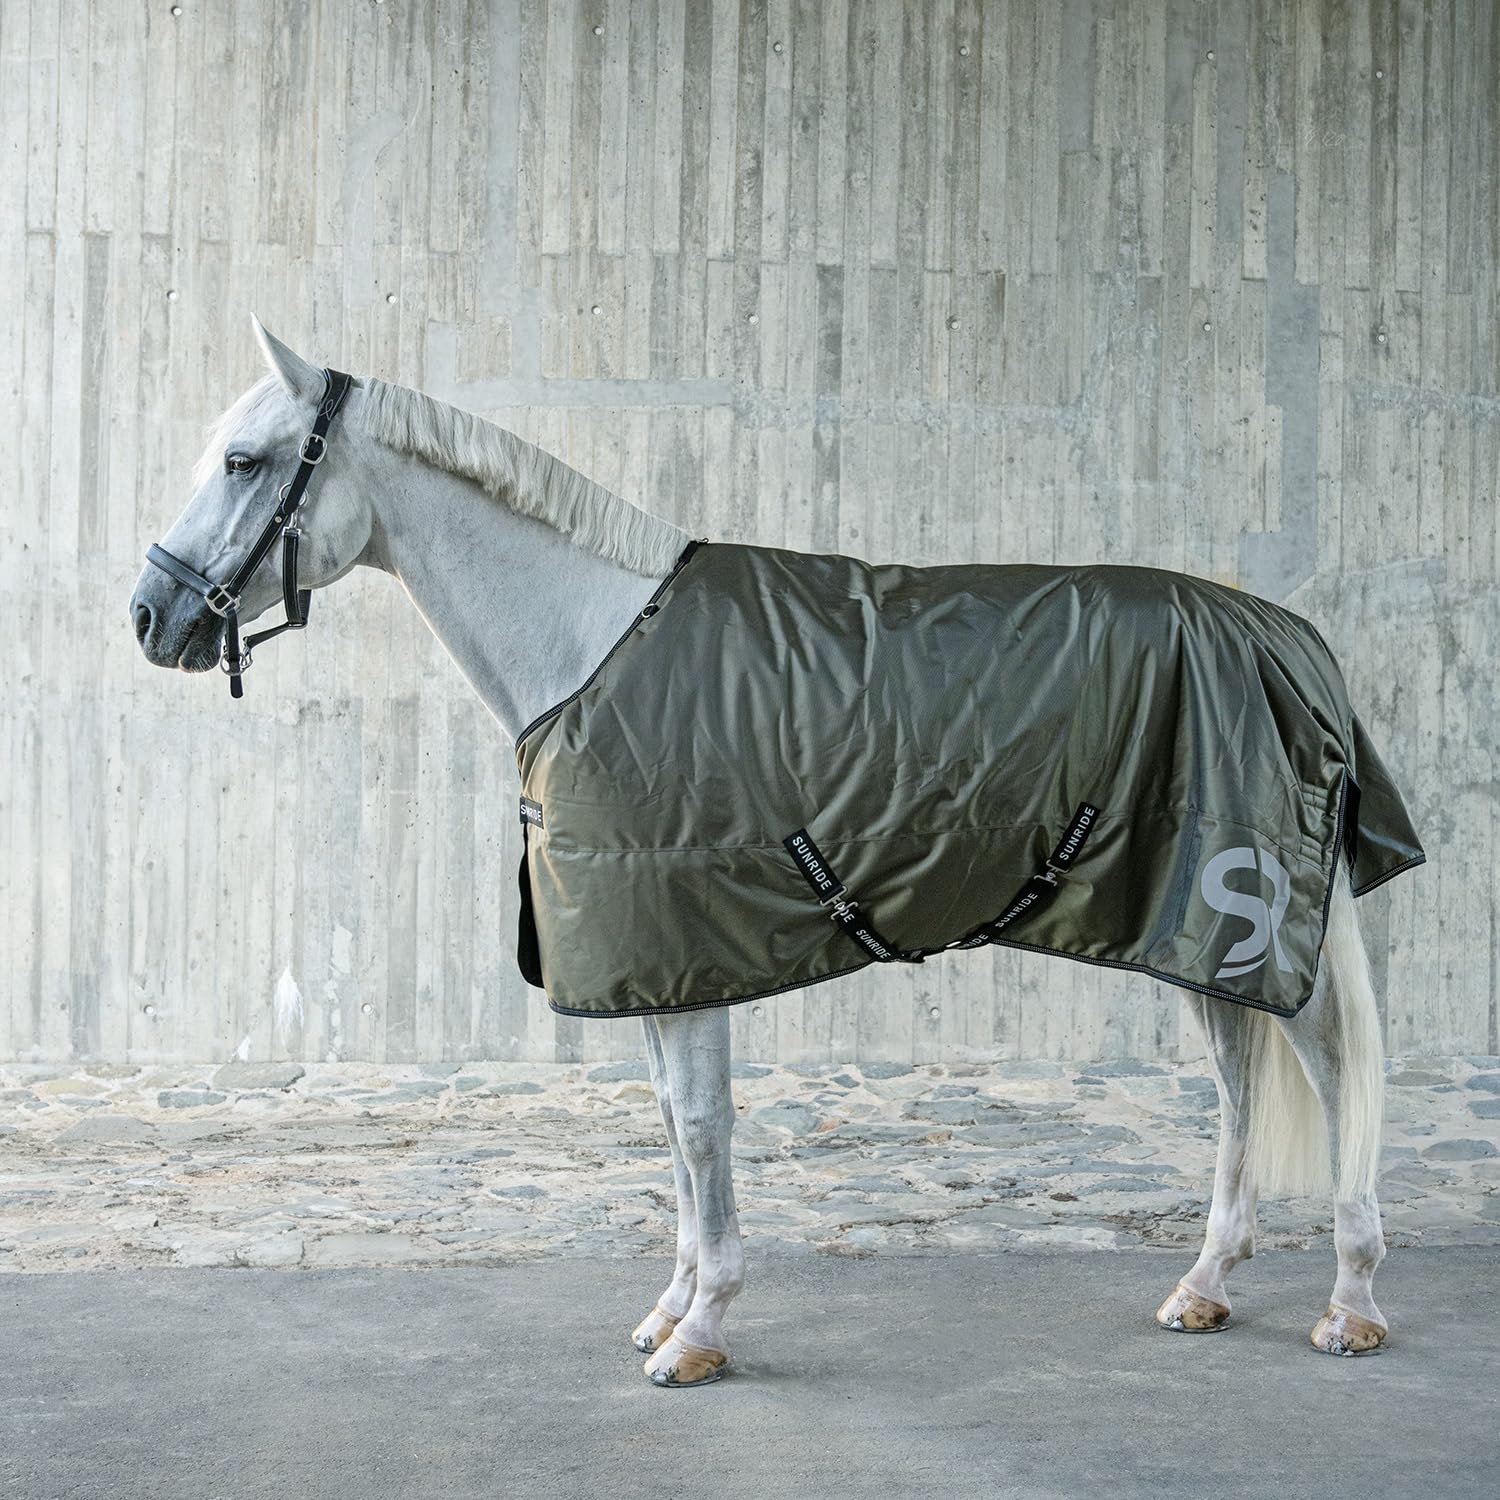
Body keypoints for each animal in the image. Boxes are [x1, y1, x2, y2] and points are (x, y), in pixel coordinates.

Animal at [129, 317, 1400, 1386]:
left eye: (242, 460)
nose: (151, 615)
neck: (599, 644)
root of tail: (1292, 637)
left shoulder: (686, 952)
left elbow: (699, 1128)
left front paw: (699, 1330)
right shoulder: (651, 962)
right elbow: (673, 1128)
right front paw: (671, 1306)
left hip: (1254, 922)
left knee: (1333, 1070)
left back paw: (1351, 1302)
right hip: (1192, 933)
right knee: (1239, 1085)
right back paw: (1205, 1284)